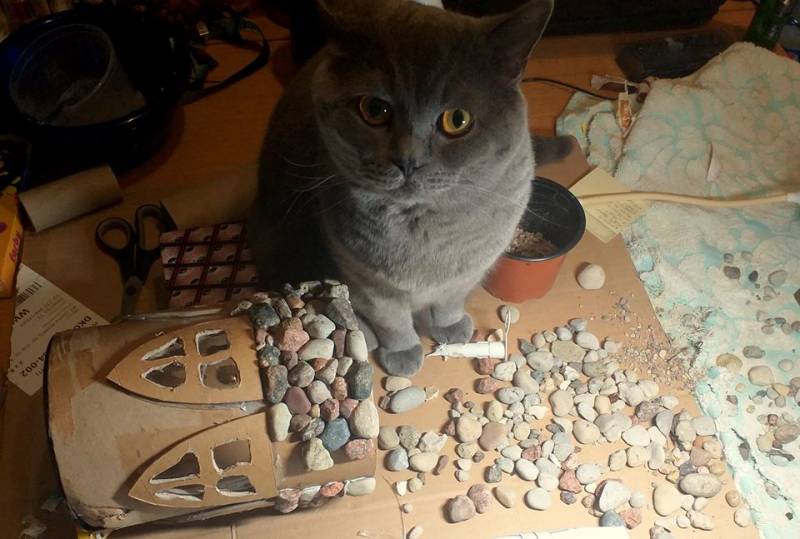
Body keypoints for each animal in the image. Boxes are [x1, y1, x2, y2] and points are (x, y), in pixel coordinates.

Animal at [249, 0, 558, 377]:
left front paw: (449, 329)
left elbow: (449, 301)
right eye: (374, 109)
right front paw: (403, 353)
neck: (425, 232)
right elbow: (391, 320)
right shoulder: (364, 279)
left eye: (458, 120)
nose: (408, 160)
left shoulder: (469, 269)